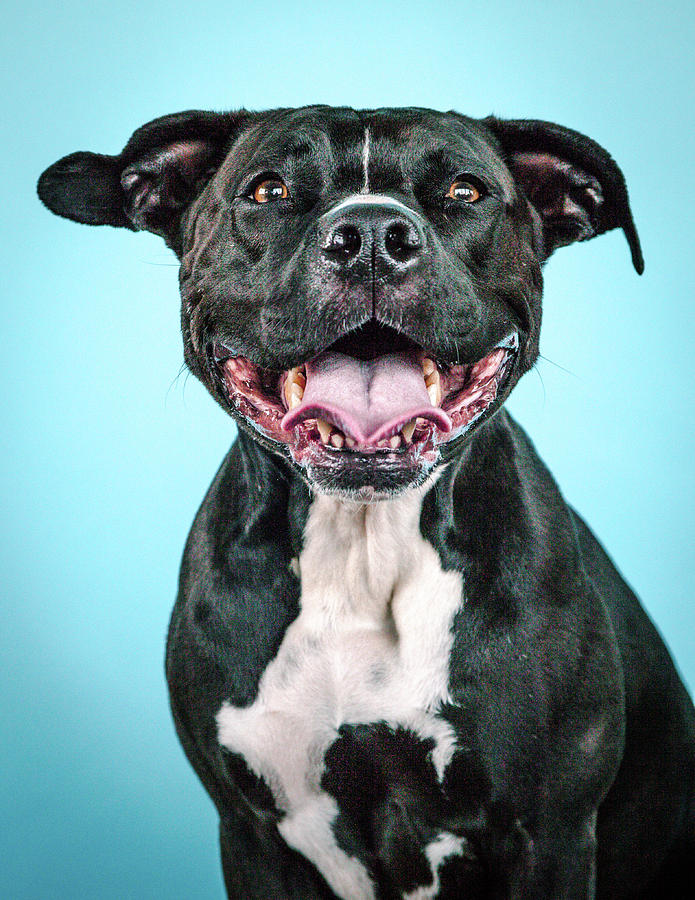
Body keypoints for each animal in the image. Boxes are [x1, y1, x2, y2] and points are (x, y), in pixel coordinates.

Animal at [39, 107, 695, 900]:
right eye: (268, 190)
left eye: (465, 190)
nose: (374, 235)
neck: (361, 545)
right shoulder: (252, 835)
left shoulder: (551, 836)